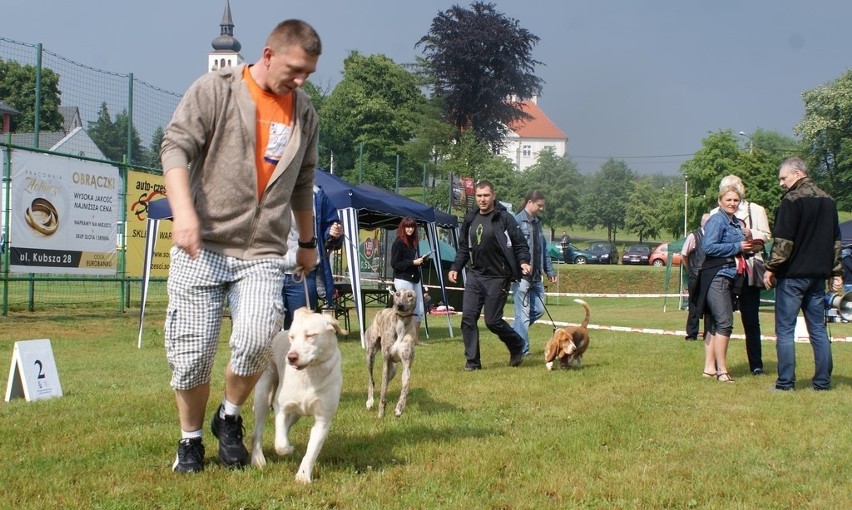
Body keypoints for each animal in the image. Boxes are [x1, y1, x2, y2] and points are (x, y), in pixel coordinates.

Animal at [250, 306, 346, 482]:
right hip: (263, 394)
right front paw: (288, 449)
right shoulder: (282, 407)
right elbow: (280, 444)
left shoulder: (323, 419)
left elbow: (312, 451)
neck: (309, 375)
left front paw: (303, 477)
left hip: (297, 414)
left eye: (310, 335)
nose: (291, 357)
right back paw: (258, 459)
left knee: (287, 426)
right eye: (292, 337)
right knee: (257, 432)